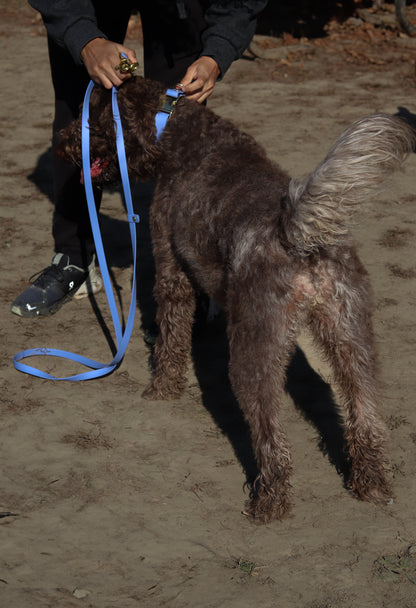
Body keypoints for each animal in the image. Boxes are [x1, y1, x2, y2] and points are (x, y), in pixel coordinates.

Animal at [57, 76, 412, 524]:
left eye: (89, 121)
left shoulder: (171, 269)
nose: (60, 142)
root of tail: (299, 236)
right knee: (366, 419)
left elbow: (172, 338)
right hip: (353, 342)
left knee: (271, 439)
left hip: (252, 354)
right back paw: (371, 484)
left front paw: (162, 387)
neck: (181, 136)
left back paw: (269, 503)